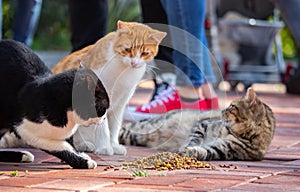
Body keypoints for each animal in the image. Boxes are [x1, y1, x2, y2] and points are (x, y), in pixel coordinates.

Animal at [0, 39, 109, 169]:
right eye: (104, 108)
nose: (105, 117)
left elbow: (70, 144)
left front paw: (82, 155)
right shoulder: (24, 129)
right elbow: (60, 146)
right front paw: (83, 161)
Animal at [54, 21, 166, 155]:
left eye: (144, 53)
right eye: (127, 49)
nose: (134, 63)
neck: (123, 70)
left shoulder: (120, 103)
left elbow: (114, 126)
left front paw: (114, 145)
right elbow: (104, 127)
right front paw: (104, 148)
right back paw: (82, 145)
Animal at [119, 88, 274, 160]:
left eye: (232, 106)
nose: (222, 111)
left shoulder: (222, 150)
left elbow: (203, 151)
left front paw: (189, 151)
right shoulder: (202, 124)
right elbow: (194, 139)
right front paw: (186, 147)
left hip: (135, 137)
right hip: (144, 128)